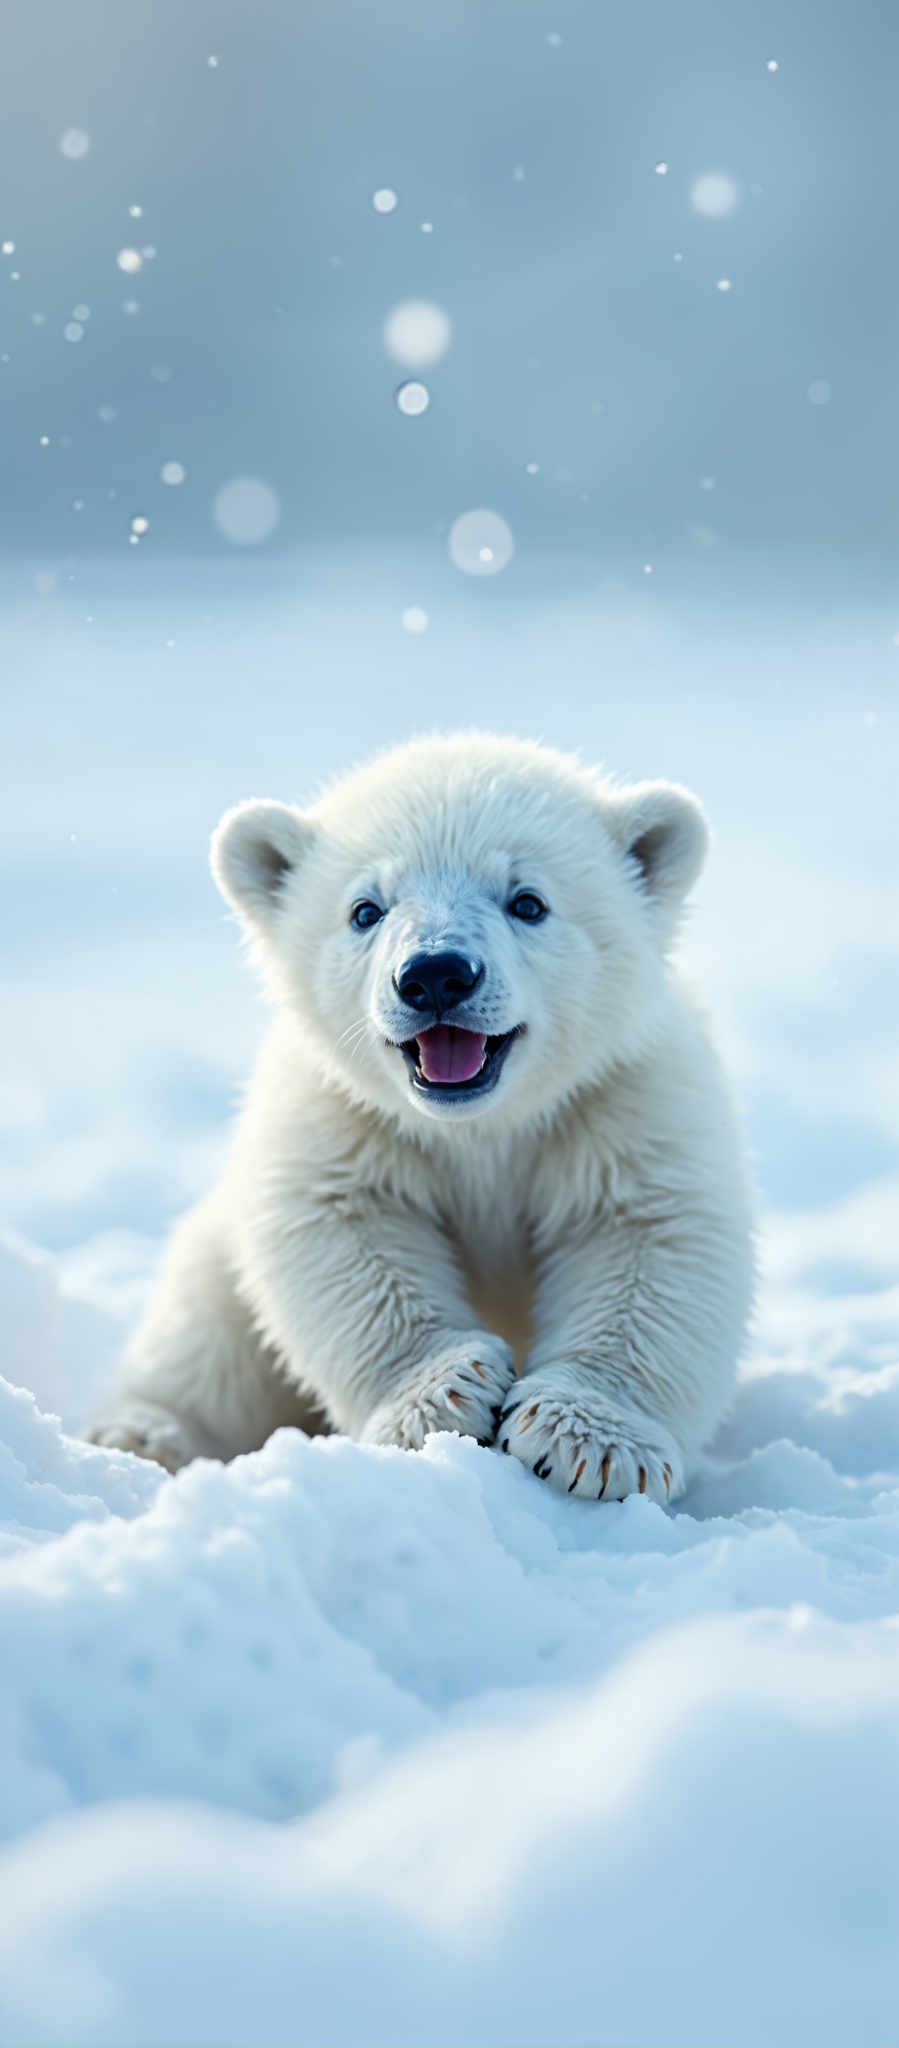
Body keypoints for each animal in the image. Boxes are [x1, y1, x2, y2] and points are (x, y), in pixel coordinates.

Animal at [89, 737, 753, 1507]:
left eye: (528, 901)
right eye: (365, 909)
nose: (435, 974)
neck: (480, 1126)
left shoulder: (621, 1098)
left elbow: (651, 1240)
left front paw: (589, 1442)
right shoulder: (344, 1112)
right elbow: (343, 1238)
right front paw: (445, 1394)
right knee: (205, 1336)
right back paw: (141, 1436)